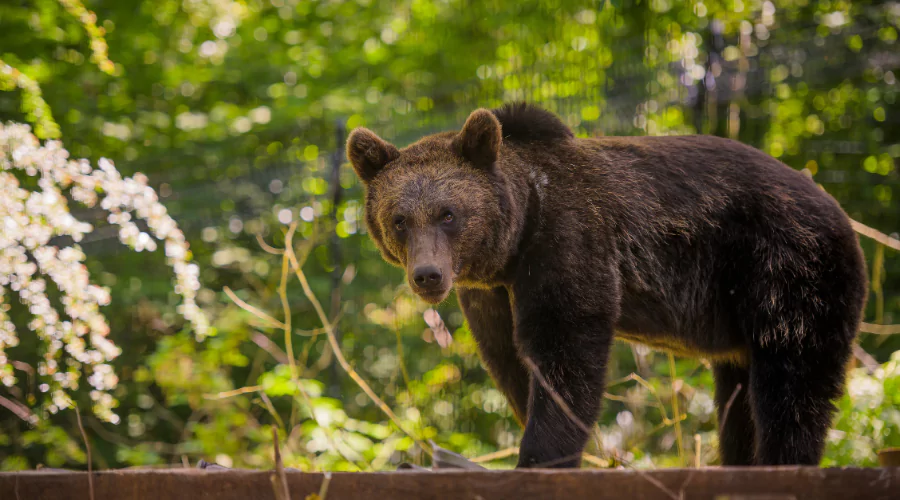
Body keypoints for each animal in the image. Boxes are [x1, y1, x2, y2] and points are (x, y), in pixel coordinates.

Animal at [346, 102, 868, 468]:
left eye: (448, 214)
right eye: (399, 219)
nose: (428, 275)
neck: (515, 238)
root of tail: (838, 208)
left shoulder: (568, 239)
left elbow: (566, 347)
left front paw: (541, 455)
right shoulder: (488, 292)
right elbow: (508, 359)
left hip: (785, 267)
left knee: (792, 380)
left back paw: (784, 459)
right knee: (739, 400)